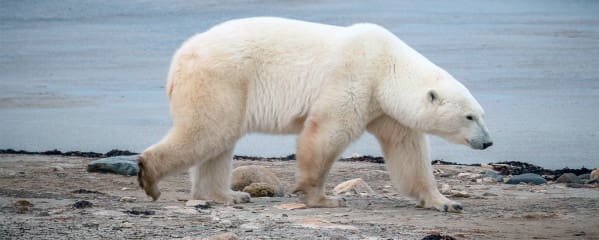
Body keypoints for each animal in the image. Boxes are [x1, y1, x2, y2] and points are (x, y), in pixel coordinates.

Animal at [138, 16, 494, 212]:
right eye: (469, 117)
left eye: (481, 114)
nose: (488, 142)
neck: (387, 66)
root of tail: (179, 57)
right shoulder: (354, 77)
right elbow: (327, 133)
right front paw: (323, 197)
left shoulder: (385, 108)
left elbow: (408, 152)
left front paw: (444, 201)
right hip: (221, 78)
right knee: (208, 131)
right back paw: (150, 176)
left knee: (219, 141)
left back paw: (228, 195)